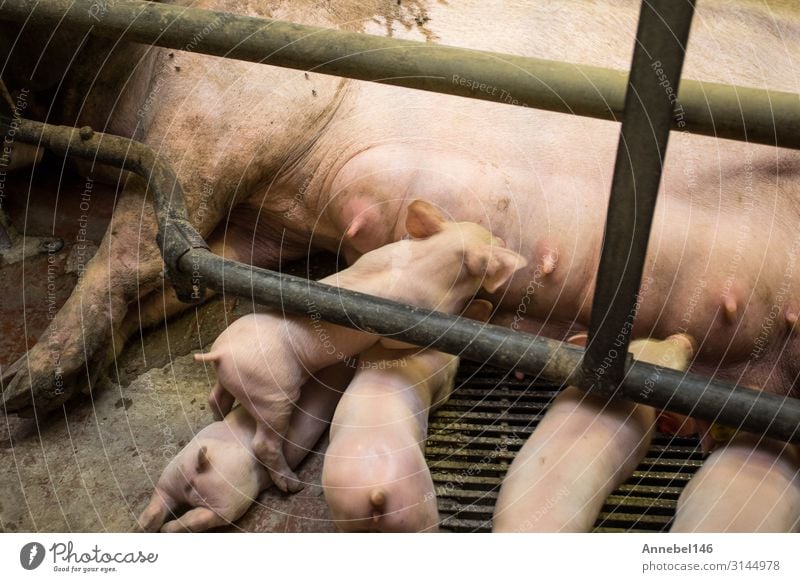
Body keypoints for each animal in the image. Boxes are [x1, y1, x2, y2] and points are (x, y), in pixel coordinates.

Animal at [4, 0, 800, 428]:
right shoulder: (268, 221)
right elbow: (178, 271)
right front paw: (54, 382)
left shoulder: (231, 105)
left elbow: (130, 243)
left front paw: (22, 389)